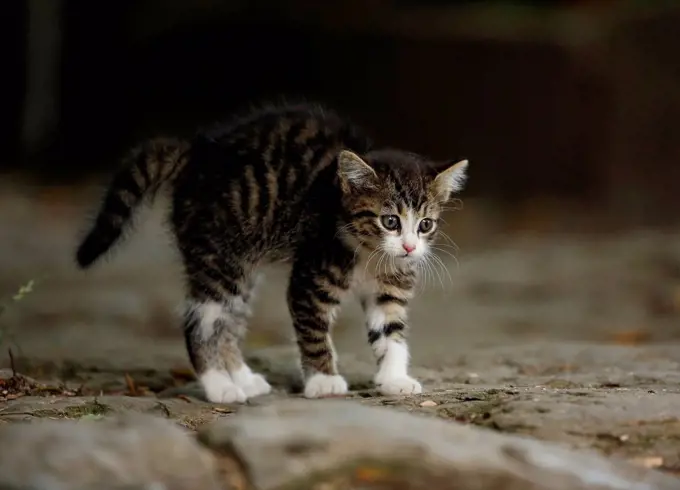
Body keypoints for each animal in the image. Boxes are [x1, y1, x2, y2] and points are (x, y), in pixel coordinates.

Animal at [74, 102, 468, 402]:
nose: (409, 246)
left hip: (240, 265)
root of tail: (198, 153)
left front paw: (394, 378)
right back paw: (219, 387)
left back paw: (242, 378)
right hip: (217, 254)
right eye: (390, 221)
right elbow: (314, 334)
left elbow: (391, 330)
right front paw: (324, 381)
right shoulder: (311, 277)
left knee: (228, 320)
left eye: (425, 225)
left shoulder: (391, 286)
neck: (371, 254)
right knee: (199, 320)